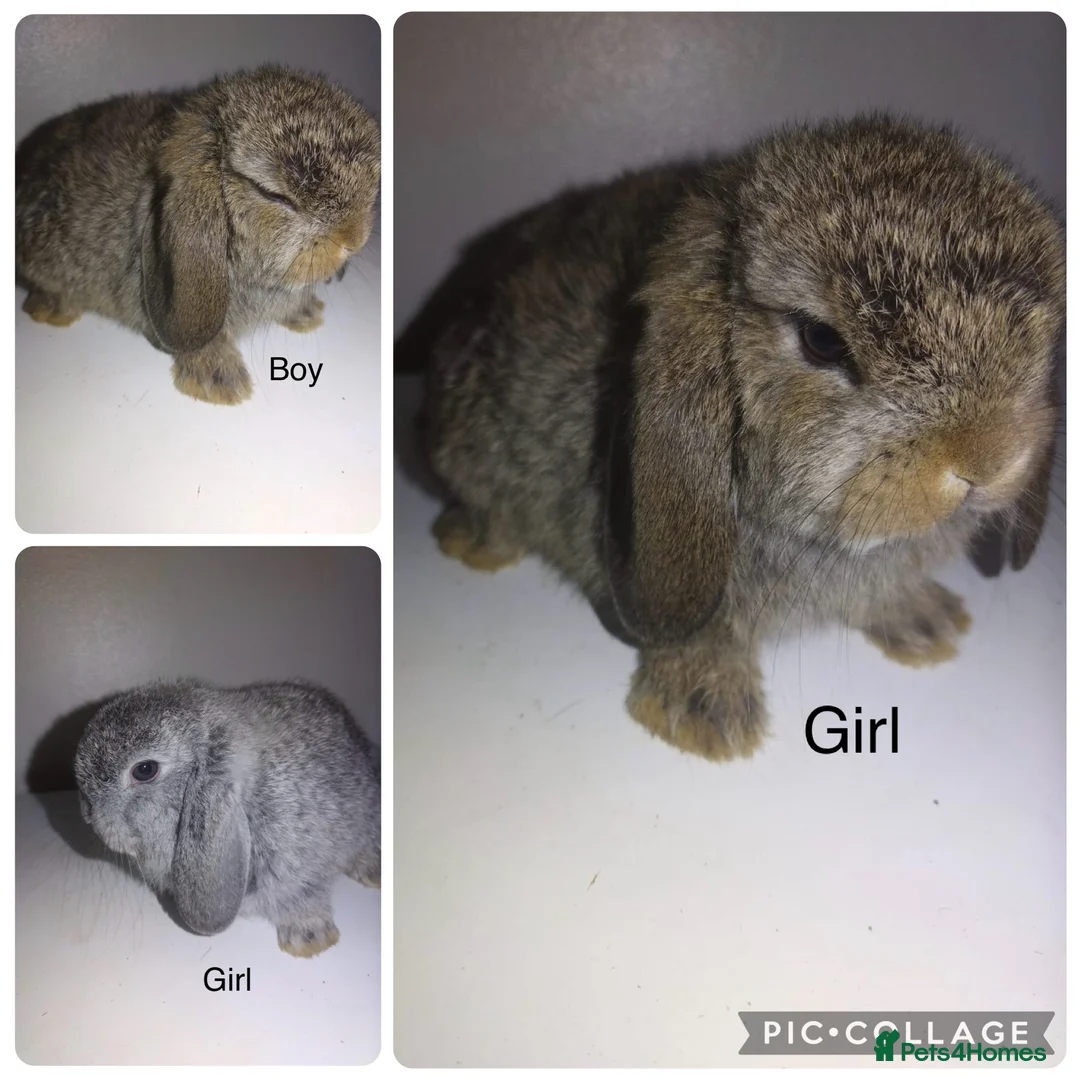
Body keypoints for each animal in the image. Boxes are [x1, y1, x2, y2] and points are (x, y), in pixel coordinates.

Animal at [411, 114, 1064, 763]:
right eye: (822, 340)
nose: (987, 458)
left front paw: (928, 624)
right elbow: (705, 637)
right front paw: (706, 720)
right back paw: (472, 542)